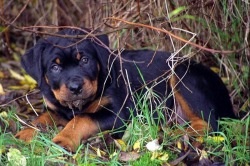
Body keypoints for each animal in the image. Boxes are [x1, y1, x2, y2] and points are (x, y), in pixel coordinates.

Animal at [16, 27, 236, 152]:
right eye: (55, 68)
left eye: (85, 60)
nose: (75, 87)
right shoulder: (57, 108)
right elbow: (43, 118)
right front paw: (24, 133)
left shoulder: (118, 114)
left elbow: (82, 119)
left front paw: (63, 138)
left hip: (182, 74)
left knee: (208, 124)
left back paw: (167, 132)